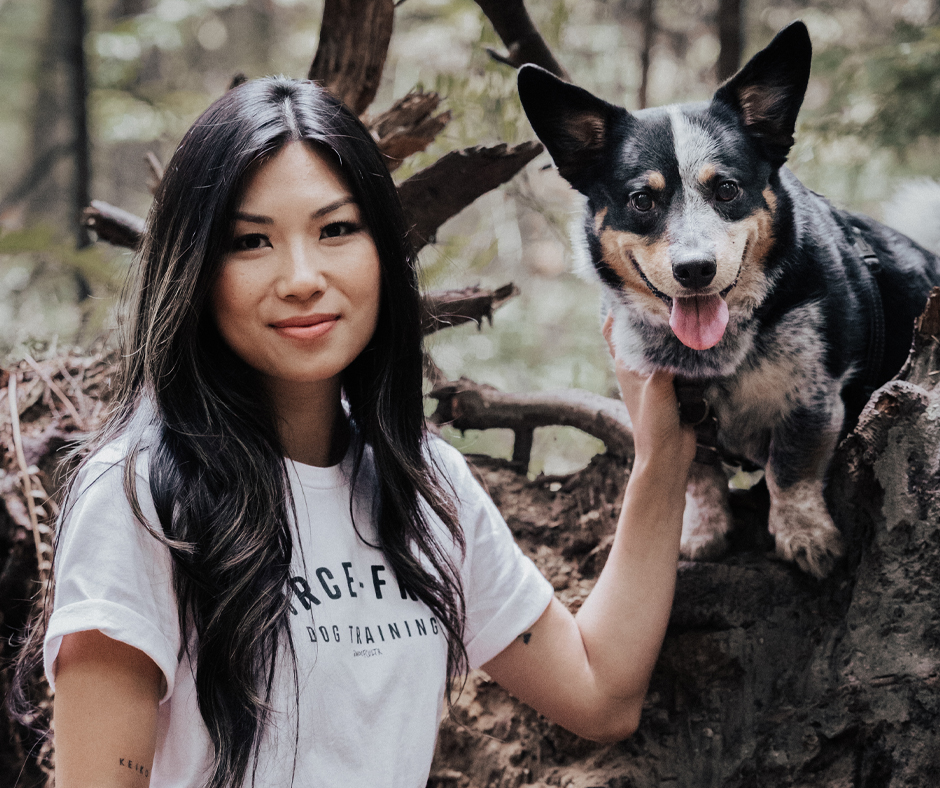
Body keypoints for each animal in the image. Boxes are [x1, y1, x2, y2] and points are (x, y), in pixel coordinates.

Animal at [516, 21, 940, 576]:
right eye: (642, 200)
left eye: (727, 189)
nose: (695, 269)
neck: (716, 356)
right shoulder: (674, 413)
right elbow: (700, 475)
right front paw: (702, 532)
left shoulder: (814, 398)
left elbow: (791, 467)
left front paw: (805, 536)